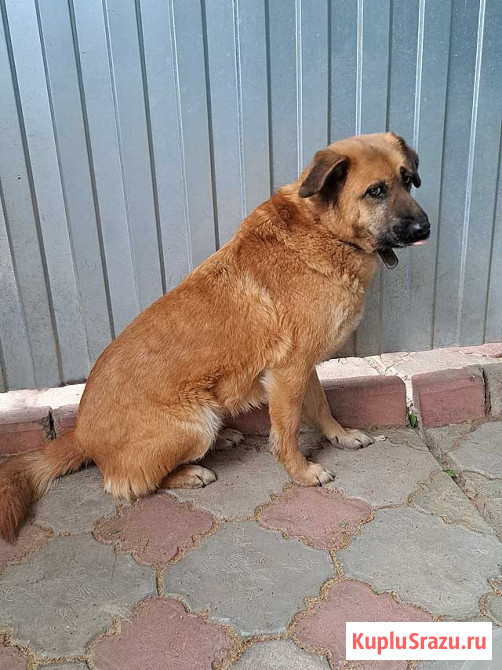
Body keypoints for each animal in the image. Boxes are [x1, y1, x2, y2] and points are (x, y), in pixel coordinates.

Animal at [0, 132, 430, 541]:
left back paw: (221, 442)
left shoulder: (305, 366)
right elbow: (287, 429)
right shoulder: (288, 372)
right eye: (376, 191)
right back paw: (191, 472)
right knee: (129, 483)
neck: (323, 228)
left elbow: (322, 406)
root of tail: (82, 434)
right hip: (195, 421)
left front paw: (340, 436)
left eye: (407, 181)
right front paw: (302, 472)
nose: (425, 228)